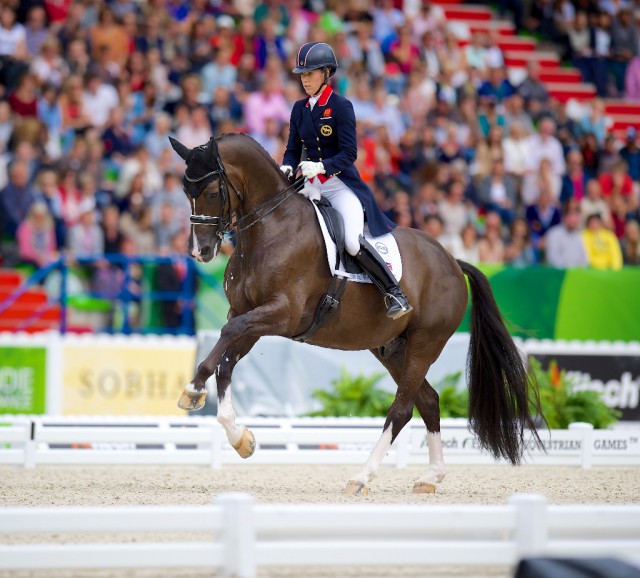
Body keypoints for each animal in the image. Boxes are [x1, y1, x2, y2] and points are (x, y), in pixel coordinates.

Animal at [169, 133, 540, 492]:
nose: (200, 252)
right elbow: (226, 362)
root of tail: (452, 261)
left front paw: (193, 390)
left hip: (425, 342)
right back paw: (430, 477)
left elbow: (225, 339)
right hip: (391, 348)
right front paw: (241, 439)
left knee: (402, 407)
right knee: (428, 400)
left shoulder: (282, 313)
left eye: (212, 191)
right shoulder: (247, 314)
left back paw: (361, 476)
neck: (270, 228)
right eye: (186, 192)